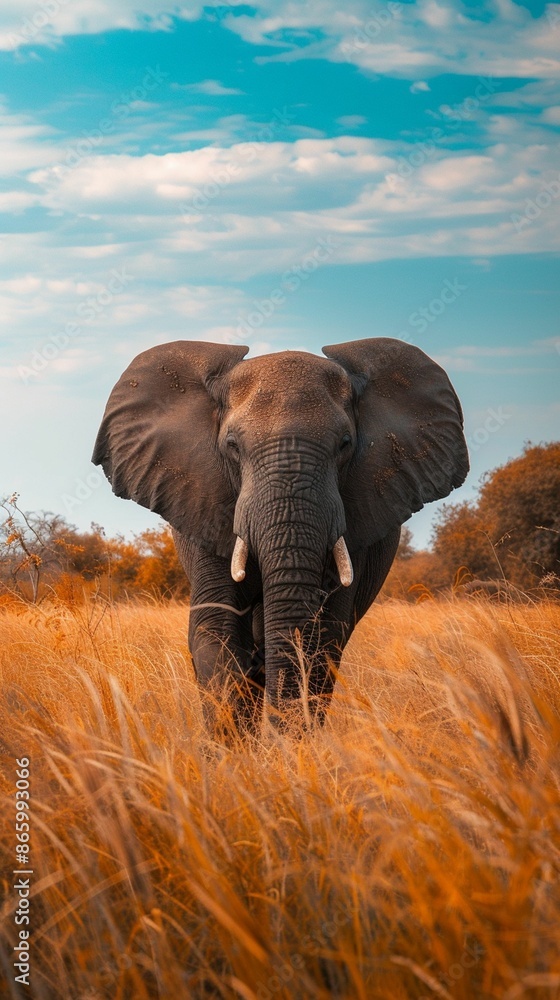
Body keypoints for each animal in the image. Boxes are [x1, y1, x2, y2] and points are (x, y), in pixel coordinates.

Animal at [92, 338, 469, 732]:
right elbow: (217, 630)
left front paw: (290, 743)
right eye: (232, 446)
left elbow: (322, 638)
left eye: (345, 444)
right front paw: (236, 746)